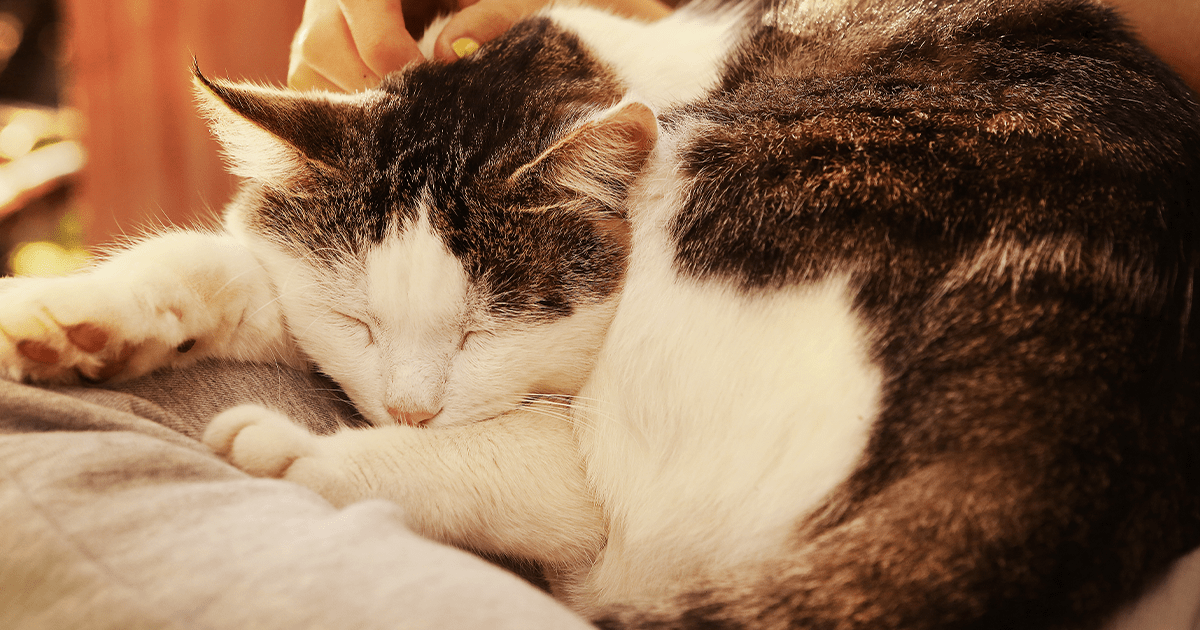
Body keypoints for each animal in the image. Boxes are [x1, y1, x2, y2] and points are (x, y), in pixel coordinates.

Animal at [2, 0, 1200, 624]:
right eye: (360, 322)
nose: (408, 410)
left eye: (487, 327)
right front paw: (66, 316)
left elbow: (521, 465)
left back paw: (293, 454)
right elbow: (228, 265)